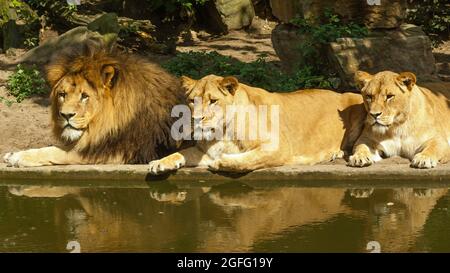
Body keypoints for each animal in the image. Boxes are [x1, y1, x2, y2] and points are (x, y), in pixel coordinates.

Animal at [2, 41, 184, 166]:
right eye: (62, 94)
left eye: (84, 96)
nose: (66, 115)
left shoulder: (116, 152)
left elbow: (55, 151)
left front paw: (17, 157)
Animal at [149, 74, 366, 172]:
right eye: (192, 100)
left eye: (213, 100)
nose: (195, 119)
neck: (221, 132)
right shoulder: (203, 151)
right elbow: (181, 153)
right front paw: (160, 162)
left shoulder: (279, 148)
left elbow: (247, 159)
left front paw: (220, 162)